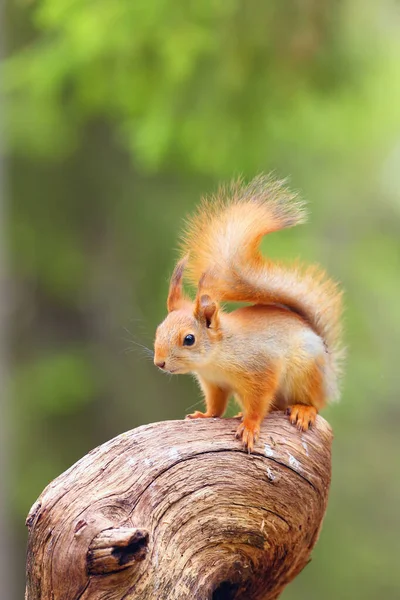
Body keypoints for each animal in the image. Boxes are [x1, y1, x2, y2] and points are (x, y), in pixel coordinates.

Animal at [153, 176, 344, 452]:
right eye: (158, 330)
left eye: (189, 339)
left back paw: (303, 409)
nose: (159, 362)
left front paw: (251, 425)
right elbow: (217, 404)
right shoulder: (214, 383)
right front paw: (205, 415)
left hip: (306, 373)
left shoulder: (261, 370)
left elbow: (259, 402)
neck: (215, 358)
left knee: (313, 403)